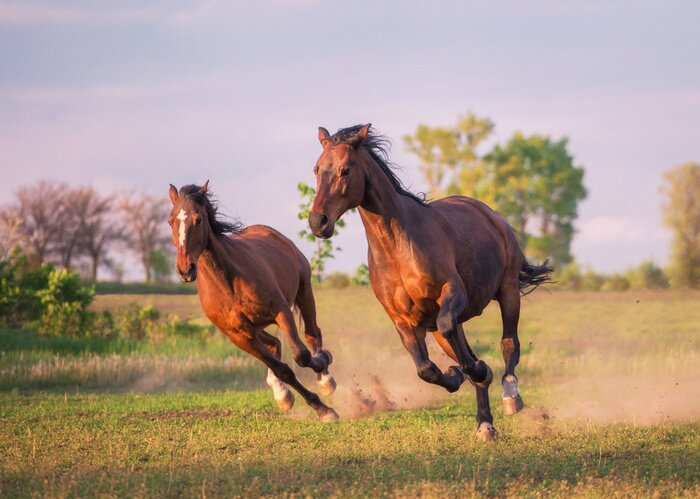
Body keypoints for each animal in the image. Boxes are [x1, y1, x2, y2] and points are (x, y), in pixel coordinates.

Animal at [167, 181, 339, 421]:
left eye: (198, 219)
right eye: (171, 221)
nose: (185, 269)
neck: (228, 283)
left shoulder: (281, 311)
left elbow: (301, 355)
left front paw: (323, 387)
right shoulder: (239, 336)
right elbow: (282, 369)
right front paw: (319, 407)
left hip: (304, 290)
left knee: (312, 333)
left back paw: (325, 379)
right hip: (255, 327)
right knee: (274, 343)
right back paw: (282, 394)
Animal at [308, 125, 551, 440]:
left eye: (345, 170)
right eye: (316, 169)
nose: (318, 222)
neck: (397, 247)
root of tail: (492, 215)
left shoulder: (452, 293)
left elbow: (464, 345)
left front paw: (477, 371)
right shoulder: (403, 320)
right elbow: (426, 369)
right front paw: (457, 374)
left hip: (508, 291)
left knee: (510, 342)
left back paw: (510, 394)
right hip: (441, 329)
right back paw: (484, 423)